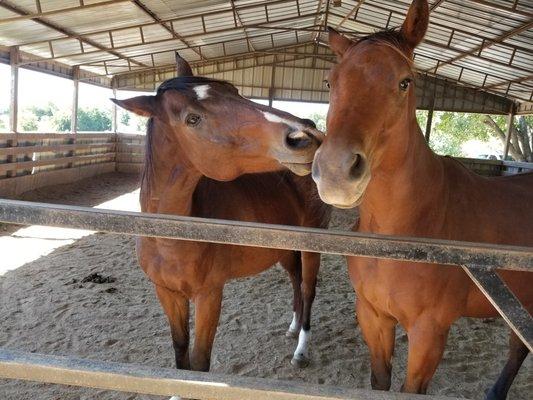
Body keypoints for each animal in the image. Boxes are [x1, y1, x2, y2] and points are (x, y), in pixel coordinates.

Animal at [111, 54, 328, 376]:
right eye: (192, 119)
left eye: (235, 92)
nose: (306, 135)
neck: (171, 239)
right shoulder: (167, 294)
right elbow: (181, 354)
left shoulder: (209, 295)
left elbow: (200, 361)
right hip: (285, 248)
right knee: (296, 281)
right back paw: (293, 327)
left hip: (312, 246)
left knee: (308, 288)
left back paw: (301, 349)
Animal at [312, 1, 532, 398]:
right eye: (329, 82)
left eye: (405, 82)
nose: (335, 170)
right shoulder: (373, 317)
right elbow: (379, 381)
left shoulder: (429, 333)